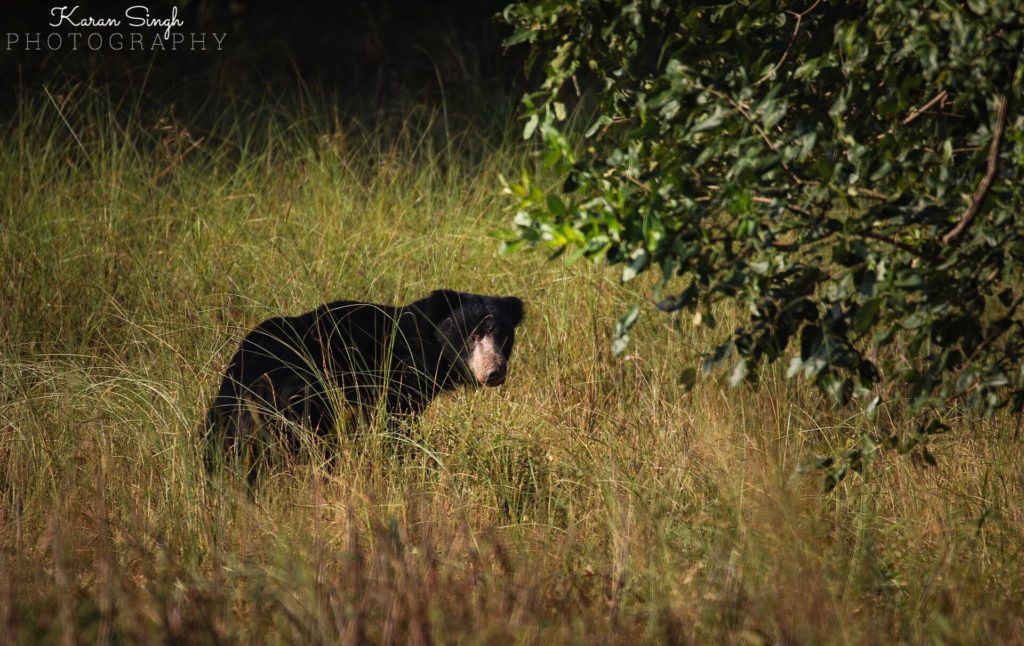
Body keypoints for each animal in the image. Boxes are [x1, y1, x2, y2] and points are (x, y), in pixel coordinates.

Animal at [203, 290, 524, 472]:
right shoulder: (394, 379)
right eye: (472, 334)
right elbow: (394, 424)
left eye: (503, 336)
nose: (494, 372)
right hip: (300, 398)